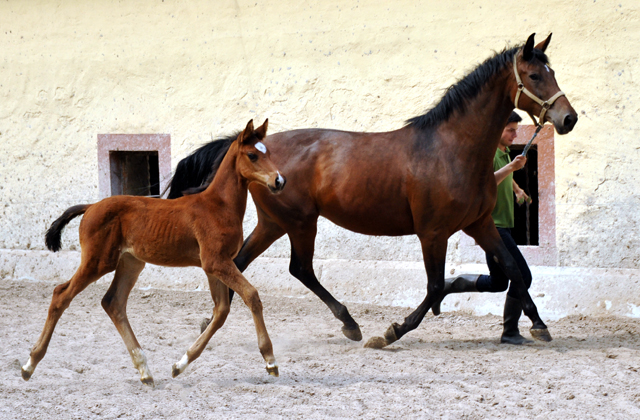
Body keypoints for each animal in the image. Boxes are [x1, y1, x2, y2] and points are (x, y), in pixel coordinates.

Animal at [21, 120, 284, 386]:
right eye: (252, 155)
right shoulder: (216, 262)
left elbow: (221, 311)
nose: (279, 181)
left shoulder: (216, 265)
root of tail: (91, 206)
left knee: (113, 302)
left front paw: (180, 365)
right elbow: (251, 295)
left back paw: (144, 370)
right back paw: (30, 364)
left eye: (269, 153)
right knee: (60, 295)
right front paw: (270, 360)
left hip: (130, 262)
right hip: (98, 262)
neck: (217, 206)